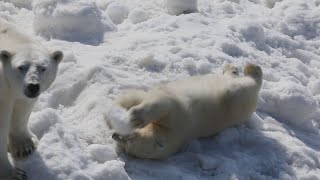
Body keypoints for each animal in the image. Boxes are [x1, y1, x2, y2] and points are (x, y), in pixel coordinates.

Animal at [0, 20, 63, 180]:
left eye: (43, 68)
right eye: (21, 67)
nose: (33, 86)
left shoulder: (18, 93)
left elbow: (22, 109)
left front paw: (24, 147)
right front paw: (15, 174)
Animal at [110, 63, 262, 159]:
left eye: (129, 140)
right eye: (124, 145)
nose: (114, 135)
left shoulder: (177, 114)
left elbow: (161, 102)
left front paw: (134, 117)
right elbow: (137, 97)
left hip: (234, 100)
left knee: (244, 87)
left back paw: (252, 69)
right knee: (230, 78)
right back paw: (232, 68)